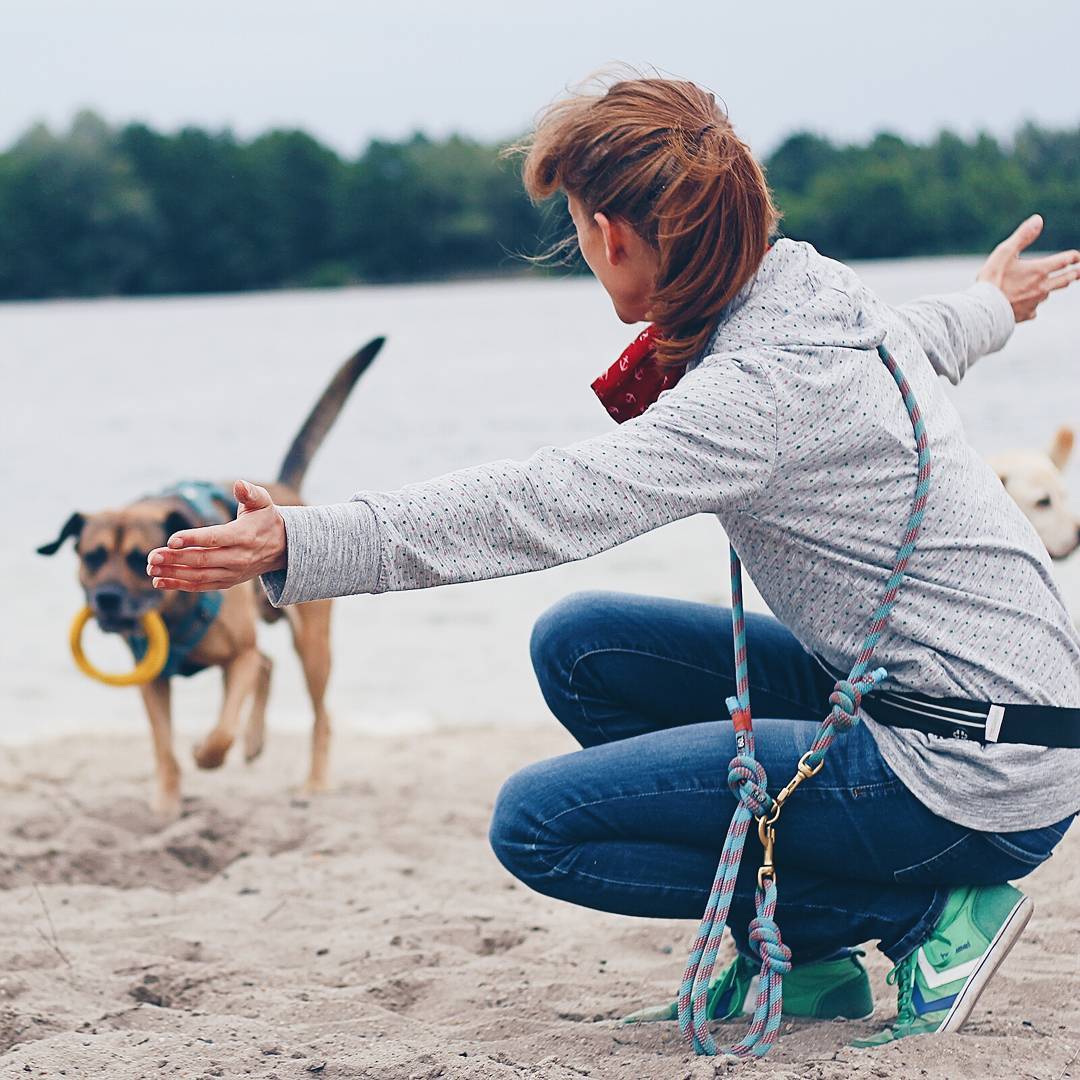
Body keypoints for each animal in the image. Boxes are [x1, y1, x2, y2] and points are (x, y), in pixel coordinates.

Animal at [38, 341, 384, 820]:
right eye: (93, 556)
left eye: (138, 560)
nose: (106, 599)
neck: (173, 613)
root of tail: (283, 490)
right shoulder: (151, 680)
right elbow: (164, 748)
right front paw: (165, 805)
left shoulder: (237, 658)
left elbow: (223, 730)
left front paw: (205, 753)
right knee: (268, 665)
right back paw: (256, 743)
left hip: (312, 645)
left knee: (316, 712)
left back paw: (313, 781)